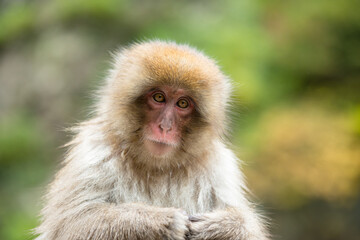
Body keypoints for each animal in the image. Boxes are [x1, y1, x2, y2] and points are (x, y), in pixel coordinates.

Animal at [35, 40, 268, 239]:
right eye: (158, 97)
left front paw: (222, 226)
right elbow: (71, 226)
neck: (158, 167)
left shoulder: (220, 165)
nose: (165, 127)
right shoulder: (94, 151)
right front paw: (163, 221)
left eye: (183, 103)